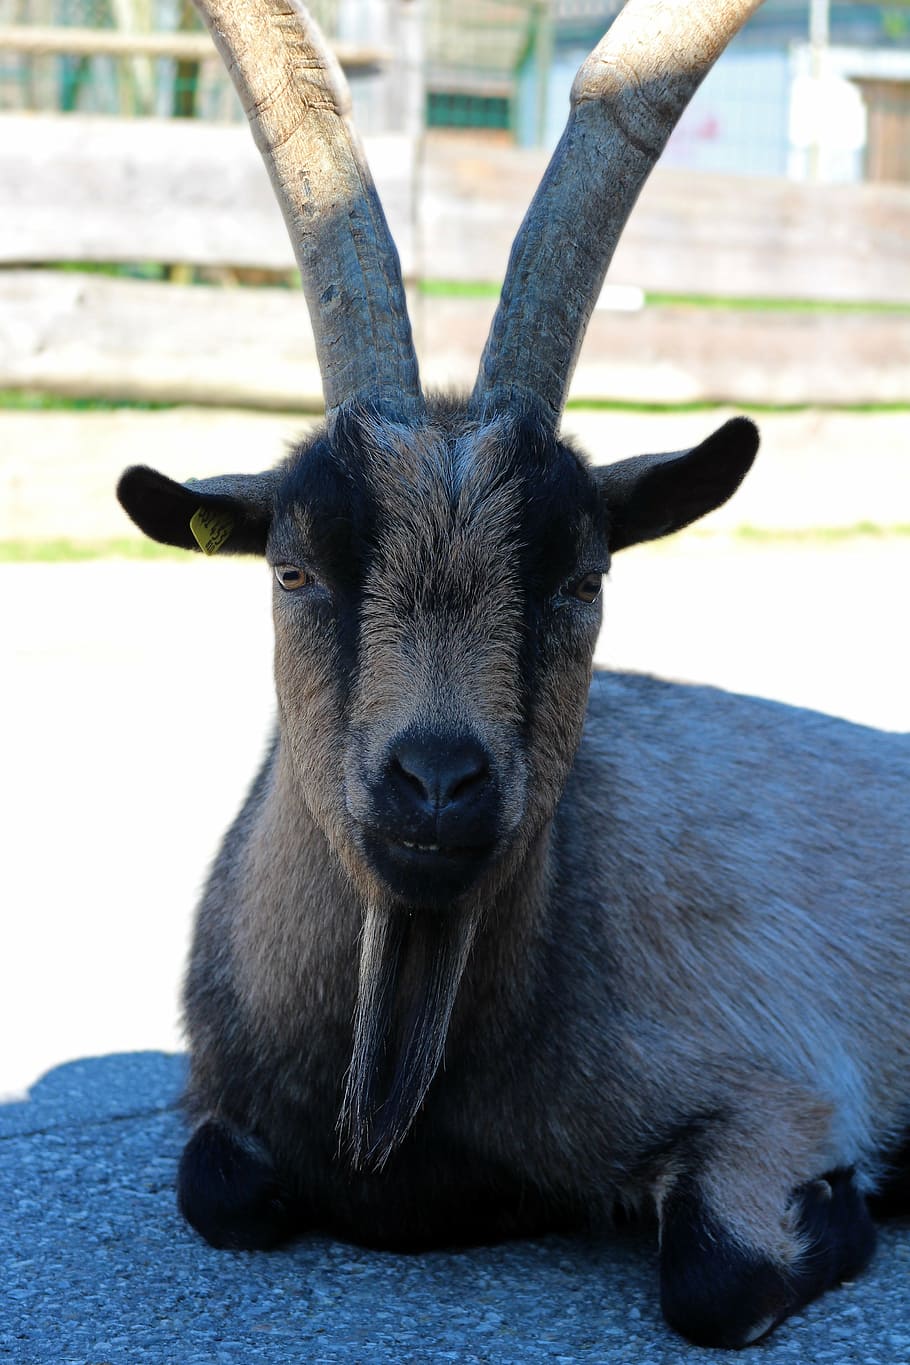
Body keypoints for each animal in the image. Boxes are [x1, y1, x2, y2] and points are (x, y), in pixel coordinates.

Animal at [116, 0, 909, 1348]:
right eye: (295, 570)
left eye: (580, 580)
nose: (437, 783)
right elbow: (216, 1186)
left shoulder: (785, 1079)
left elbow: (718, 1277)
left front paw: (845, 1211)